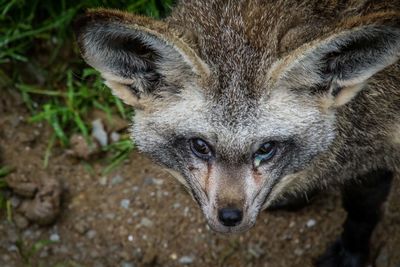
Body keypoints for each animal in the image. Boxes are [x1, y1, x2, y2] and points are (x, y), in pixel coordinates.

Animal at [73, 1, 398, 266]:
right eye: (200, 145)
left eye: (266, 148)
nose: (230, 218)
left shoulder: (374, 156)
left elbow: (360, 215)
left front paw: (350, 253)